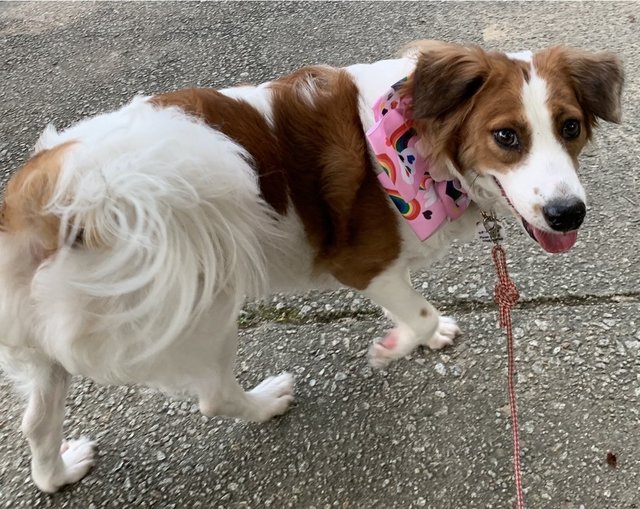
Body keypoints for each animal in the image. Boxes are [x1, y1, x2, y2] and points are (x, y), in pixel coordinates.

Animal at [0, 41, 620, 490]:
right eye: (506, 136)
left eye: (570, 128)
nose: (568, 213)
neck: (417, 140)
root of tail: (48, 198)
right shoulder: (365, 264)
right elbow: (416, 312)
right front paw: (398, 344)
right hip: (200, 305)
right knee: (213, 395)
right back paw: (266, 401)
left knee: (36, 424)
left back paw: (60, 473)